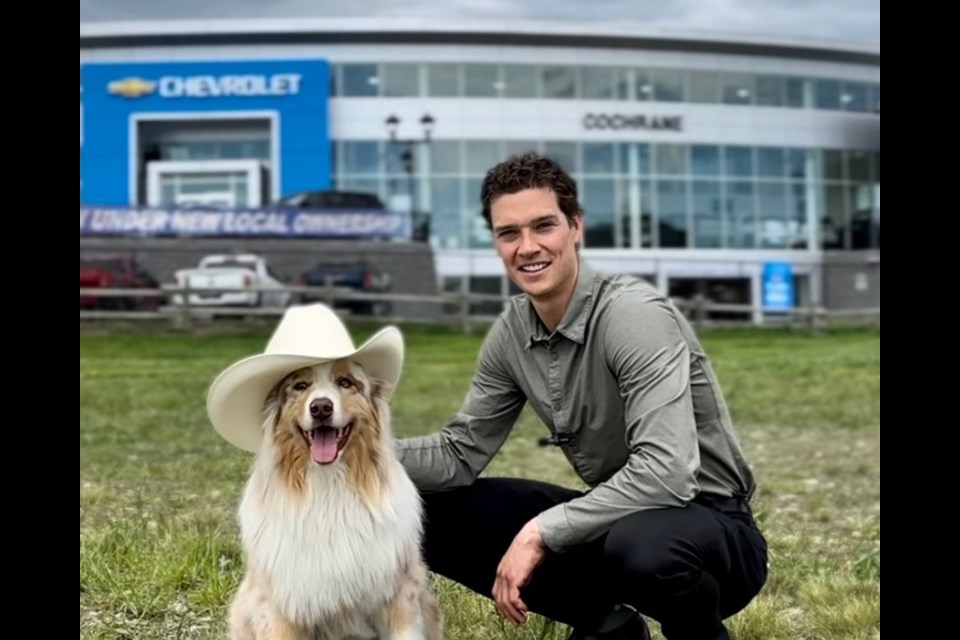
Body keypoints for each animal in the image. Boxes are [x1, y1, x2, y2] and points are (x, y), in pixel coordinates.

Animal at [208, 304, 444, 640]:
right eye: (300, 386)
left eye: (346, 383)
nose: (321, 407)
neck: (328, 484)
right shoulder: (280, 607)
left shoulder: (399, 596)